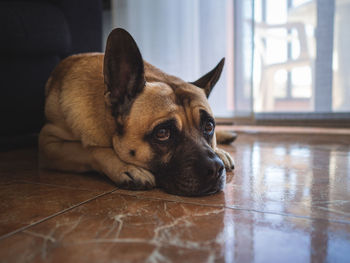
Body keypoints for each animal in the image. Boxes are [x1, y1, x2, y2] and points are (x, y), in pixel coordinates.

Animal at [38, 29, 234, 198]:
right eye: (163, 133)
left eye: (208, 126)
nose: (215, 168)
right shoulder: (48, 144)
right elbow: (90, 149)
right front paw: (126, 167)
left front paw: (219, 149)